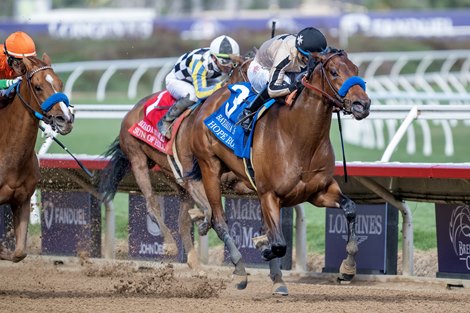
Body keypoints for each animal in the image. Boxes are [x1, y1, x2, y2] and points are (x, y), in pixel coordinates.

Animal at [187, 47, 370, 294]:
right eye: (334, 72)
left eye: (356, 69)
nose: (363, 104)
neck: (299, 138)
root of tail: (207, 102)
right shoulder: (269, 195)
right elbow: (280, 244)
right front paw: (263, 248)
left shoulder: (318, 191)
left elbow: (350, 208)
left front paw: (348, 268)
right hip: (210, 168)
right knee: (219, 220)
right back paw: (240, 271)